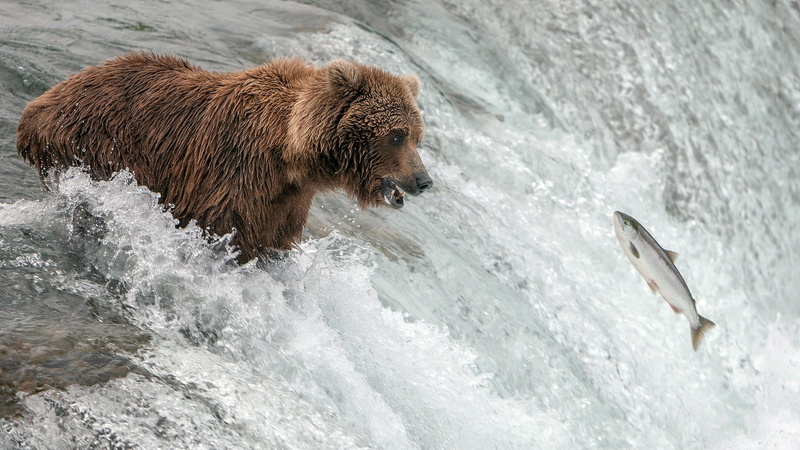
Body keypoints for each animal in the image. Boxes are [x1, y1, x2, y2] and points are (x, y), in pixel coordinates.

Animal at [16, 53, 432, 263]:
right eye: (396, 135)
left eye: (417, 136)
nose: (424, 180)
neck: (291, 157)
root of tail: (36, 107)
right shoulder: (233, 174)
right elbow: (223, 229)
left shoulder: (286, 203)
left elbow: (272, 243)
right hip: (98, 145)